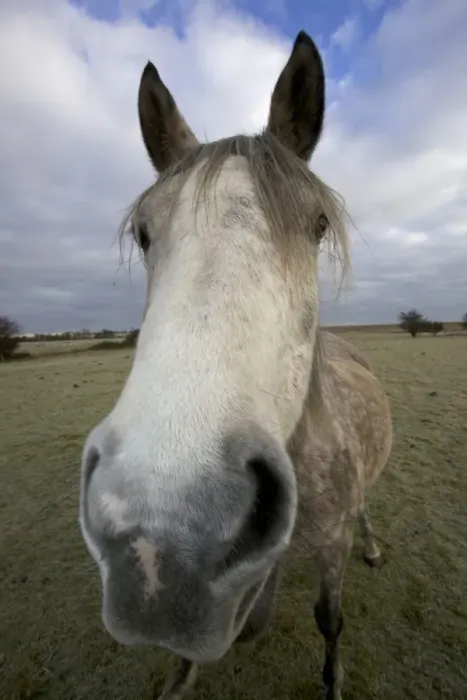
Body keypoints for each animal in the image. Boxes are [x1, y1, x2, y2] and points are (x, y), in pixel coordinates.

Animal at [79, 30, 392, 700]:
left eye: (318, 224)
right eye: (143, 233)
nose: (164, 539)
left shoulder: (332, 545)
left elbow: (330, 619)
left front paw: (333, 681)